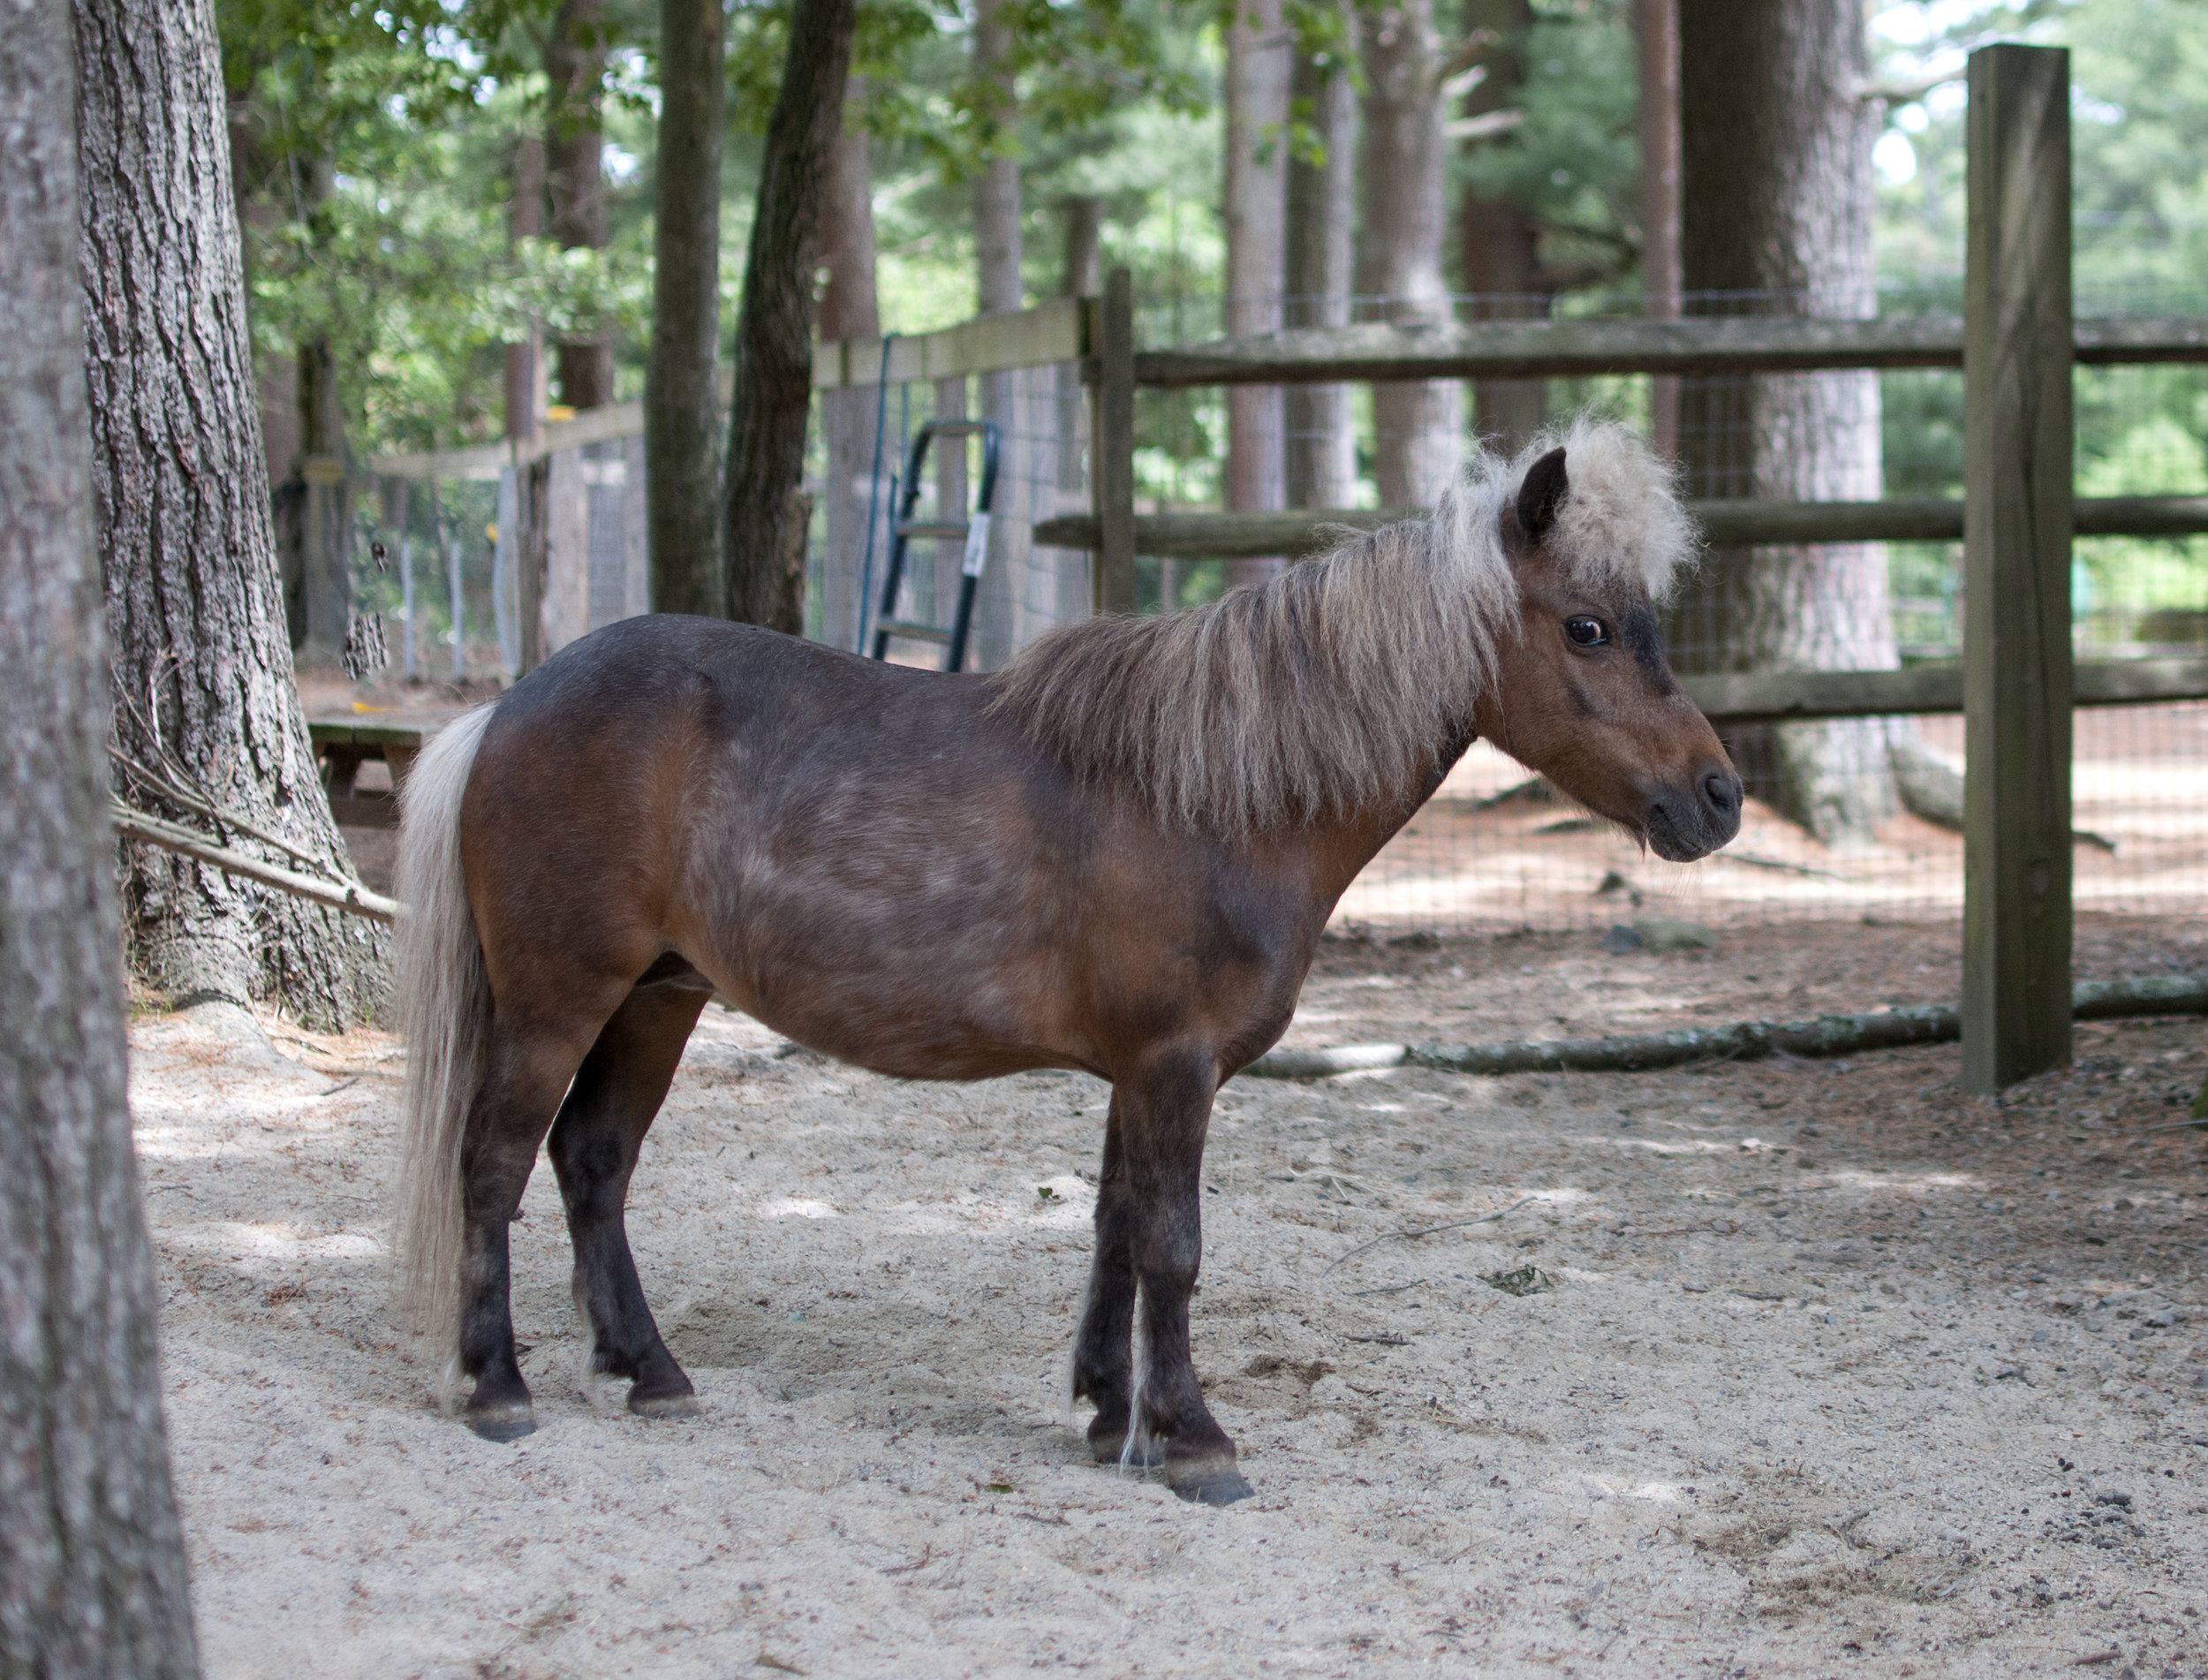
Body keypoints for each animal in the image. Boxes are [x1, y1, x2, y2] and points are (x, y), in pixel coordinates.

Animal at [391, 418, 1741, 1507]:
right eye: (1589, 627)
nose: (1718, 796)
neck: (1217, 798)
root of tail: (504, 709)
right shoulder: (1173, 1066)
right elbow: (1172, 1247)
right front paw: (1191, 1439)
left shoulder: (1138, 1073)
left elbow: (1114, 1227)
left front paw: (1109, 1411)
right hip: (560, 998)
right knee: (494, 1161)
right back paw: (497, 1386)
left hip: (658, 999)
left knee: (592, 1161)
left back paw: (649, 1371)